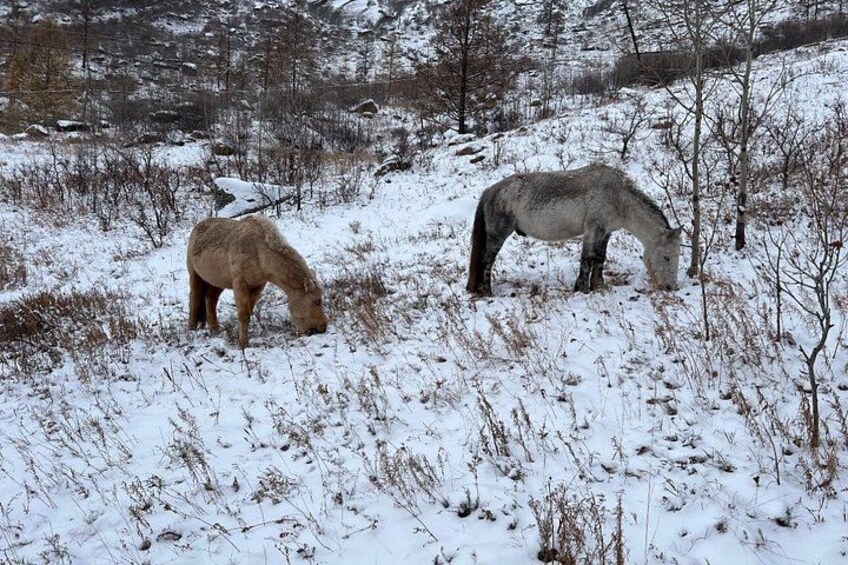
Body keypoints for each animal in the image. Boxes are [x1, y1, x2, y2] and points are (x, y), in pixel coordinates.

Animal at [187, 215, 328, 348]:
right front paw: (243, 345)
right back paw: (191, 331)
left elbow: (249, 312)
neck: (258, 252)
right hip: (195, 276)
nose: (322, 328)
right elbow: (243, 314)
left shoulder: (257, 286)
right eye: (316, 301)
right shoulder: (240, 285)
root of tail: (196, 228)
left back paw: (215, 331)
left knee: (210, 299)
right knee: (195, 300)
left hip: (217, 281)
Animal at [466, 163, 682, 296]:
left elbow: (599, 259)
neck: (618, 198)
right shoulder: (593, 230)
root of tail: (491, 191)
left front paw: (598, 285)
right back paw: (487, 291)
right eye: (667, 257)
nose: (670, 287)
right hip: (498, 235)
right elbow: (587, 259)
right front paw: (582, 288)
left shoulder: (605, 232)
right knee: (487, 260)